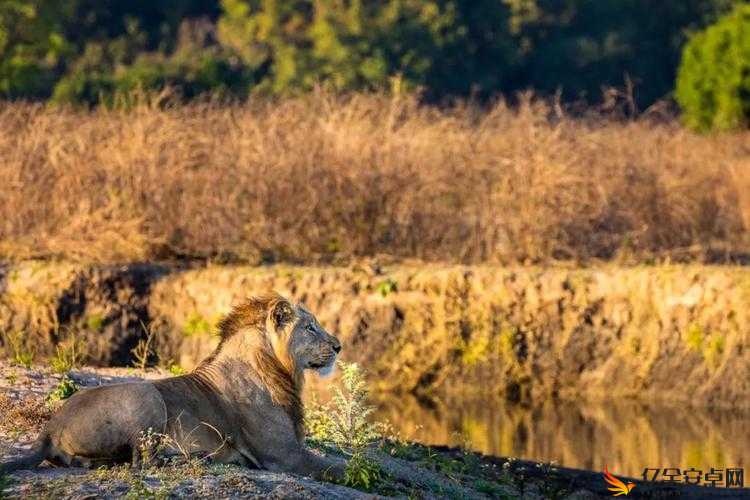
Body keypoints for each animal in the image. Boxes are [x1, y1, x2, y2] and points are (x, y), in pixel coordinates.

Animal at [0, 294, 346, 478]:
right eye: (310, 327)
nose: (339, 346)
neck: (281, 370)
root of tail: (49, 427)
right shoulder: (282, 455)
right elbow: (340, 468)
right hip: (147, 393)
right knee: (142, 462)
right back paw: (187, 458)